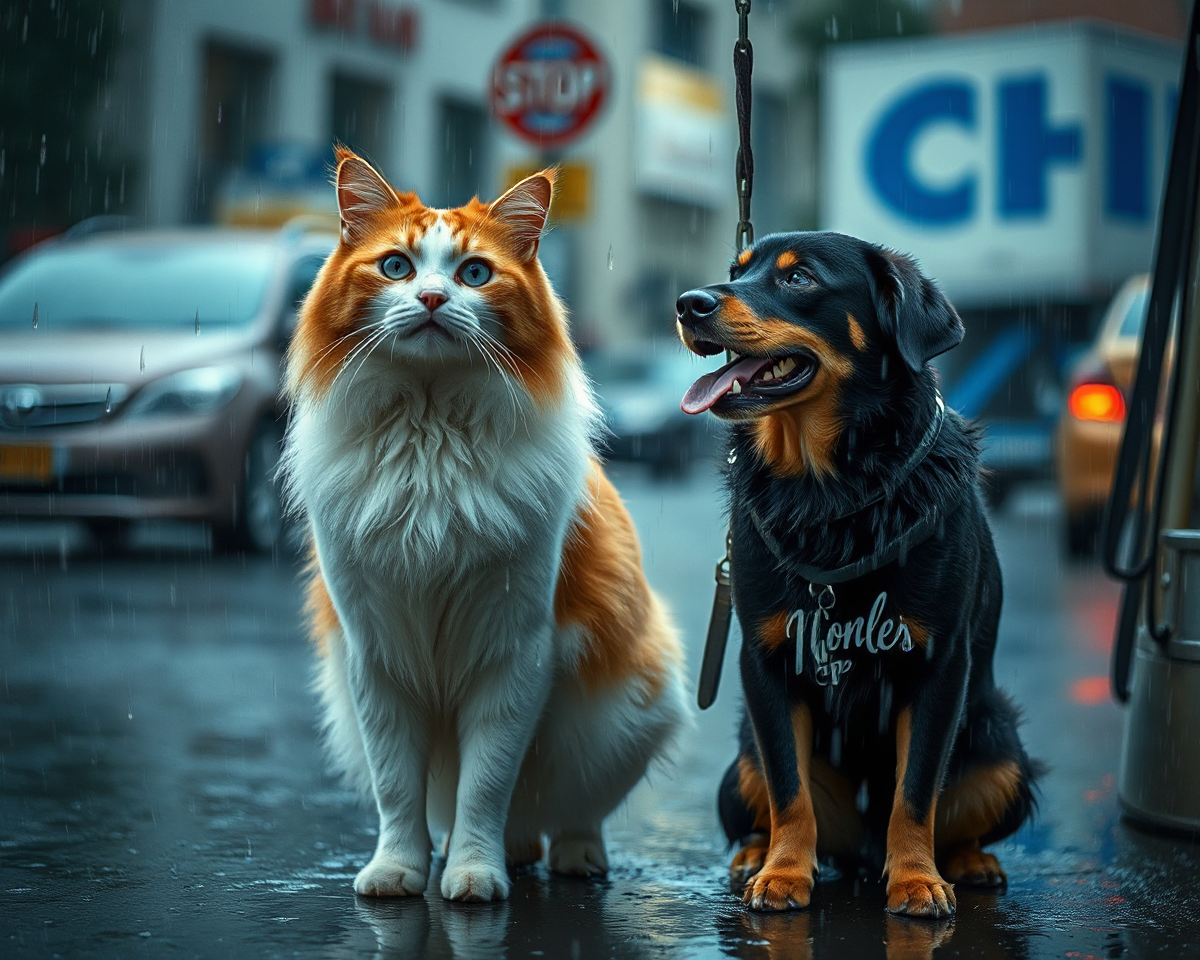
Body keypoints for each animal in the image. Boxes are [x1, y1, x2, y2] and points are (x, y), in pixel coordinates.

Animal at [279, 148, 686, 902]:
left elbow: (486, 785)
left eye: (474, 274)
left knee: (570, 812)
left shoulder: (514, 652)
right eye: (397, 267)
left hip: (634, 709)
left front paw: (474, 875)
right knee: (518, 820)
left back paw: (573, 859)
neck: (428, 434)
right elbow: (397, 792)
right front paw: (400, 870)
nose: (434, 300)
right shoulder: (375, 656)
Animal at [676, 229, 1041, 916]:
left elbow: (915, 790)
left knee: (955, 813)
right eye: (736, 271)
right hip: (740, 762)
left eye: (799, 279)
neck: (829, 487)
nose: (689, 303)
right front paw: (784, 873)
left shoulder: (939, 664)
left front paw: (918, 880)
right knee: (767, 800)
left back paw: (965, 862)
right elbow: (789, 788)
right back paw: (755, 855)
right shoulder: (764, 663)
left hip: (1002, 745)